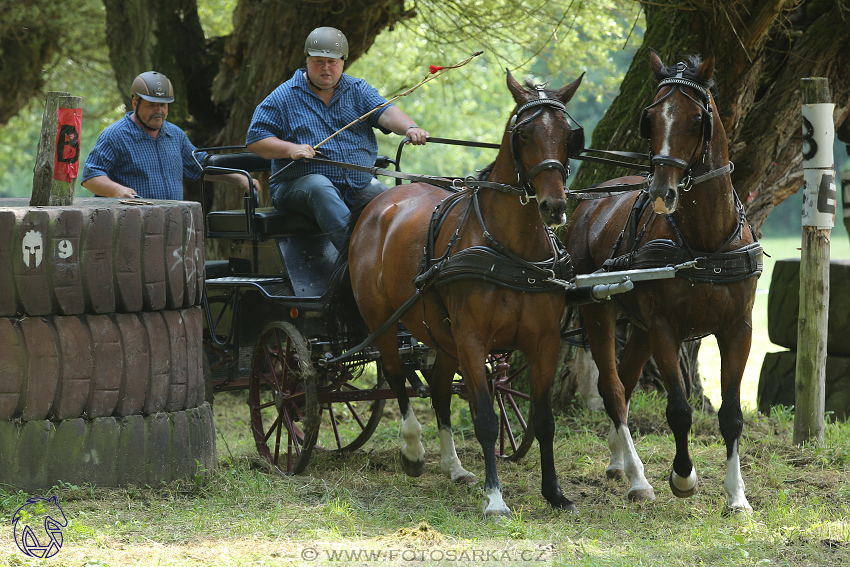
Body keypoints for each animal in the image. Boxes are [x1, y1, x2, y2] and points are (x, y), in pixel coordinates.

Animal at [324, 71, 584, 520]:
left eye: (569, 136)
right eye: (524, 133)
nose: (554, 206)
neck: (510, 251)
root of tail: (380, 201)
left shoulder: (543, 342)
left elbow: (544, 419)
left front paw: (555, 494)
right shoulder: (473, 340)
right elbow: (485, 418)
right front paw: (495, 498)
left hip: (441, 335)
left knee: (441, 390)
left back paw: (454, 466)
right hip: (384, 323)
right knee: (397, 376)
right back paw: (414, 451)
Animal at [564, 51, 760, 516]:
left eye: (697, 119)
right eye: (650, 119)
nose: (660, 191)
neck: (705, 242)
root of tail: (591, 202)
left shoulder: (738, 329)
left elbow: (731, 415)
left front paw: (737, 496)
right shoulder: (665, 328)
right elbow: (679, 409)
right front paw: (683, 477)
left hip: (638, 326)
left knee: (625, 380)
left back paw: (619, 461)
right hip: (600, 312)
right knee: (613, 388)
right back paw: (638, 479)